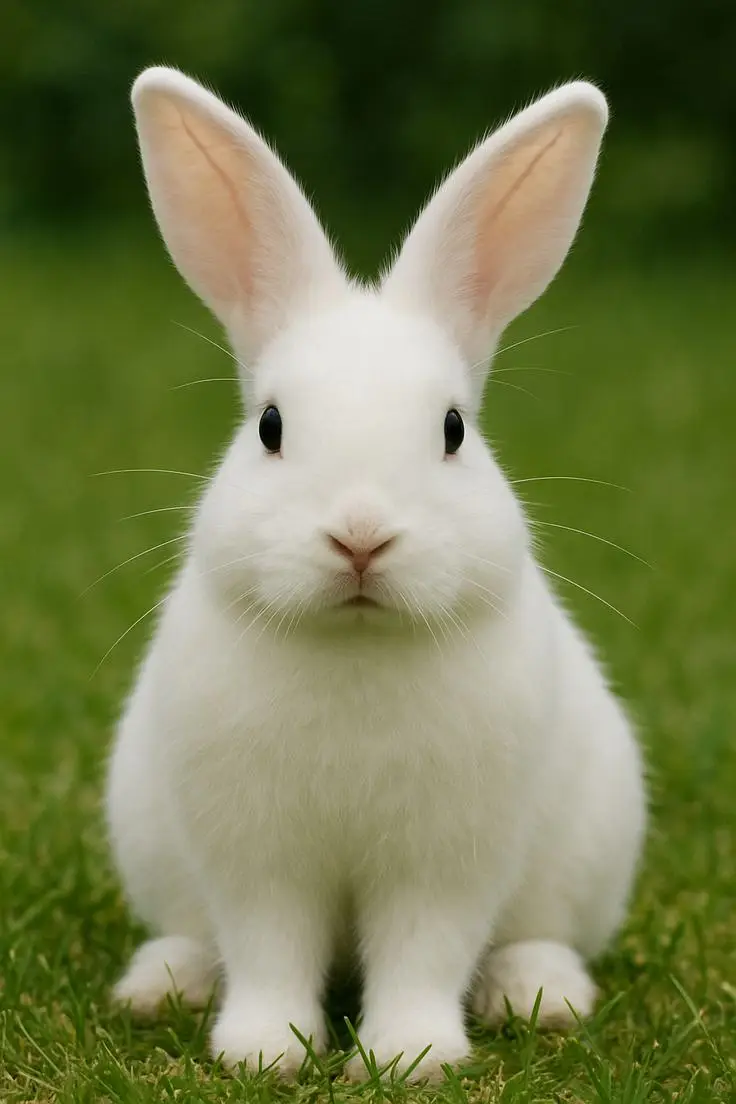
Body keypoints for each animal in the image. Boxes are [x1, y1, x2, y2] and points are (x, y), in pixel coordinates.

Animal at [106, 67, 646, 1081]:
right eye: (271, 426)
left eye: (453, 429)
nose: (360, 538)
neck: (355, 644)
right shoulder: (257, 854)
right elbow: (270, 950)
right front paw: (264, 1053)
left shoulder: (445, 858)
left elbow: (423, 953)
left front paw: (410, 1057)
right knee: (198, 933)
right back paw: (162, 986)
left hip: (585, 853)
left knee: (539, 935)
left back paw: (541, 997)